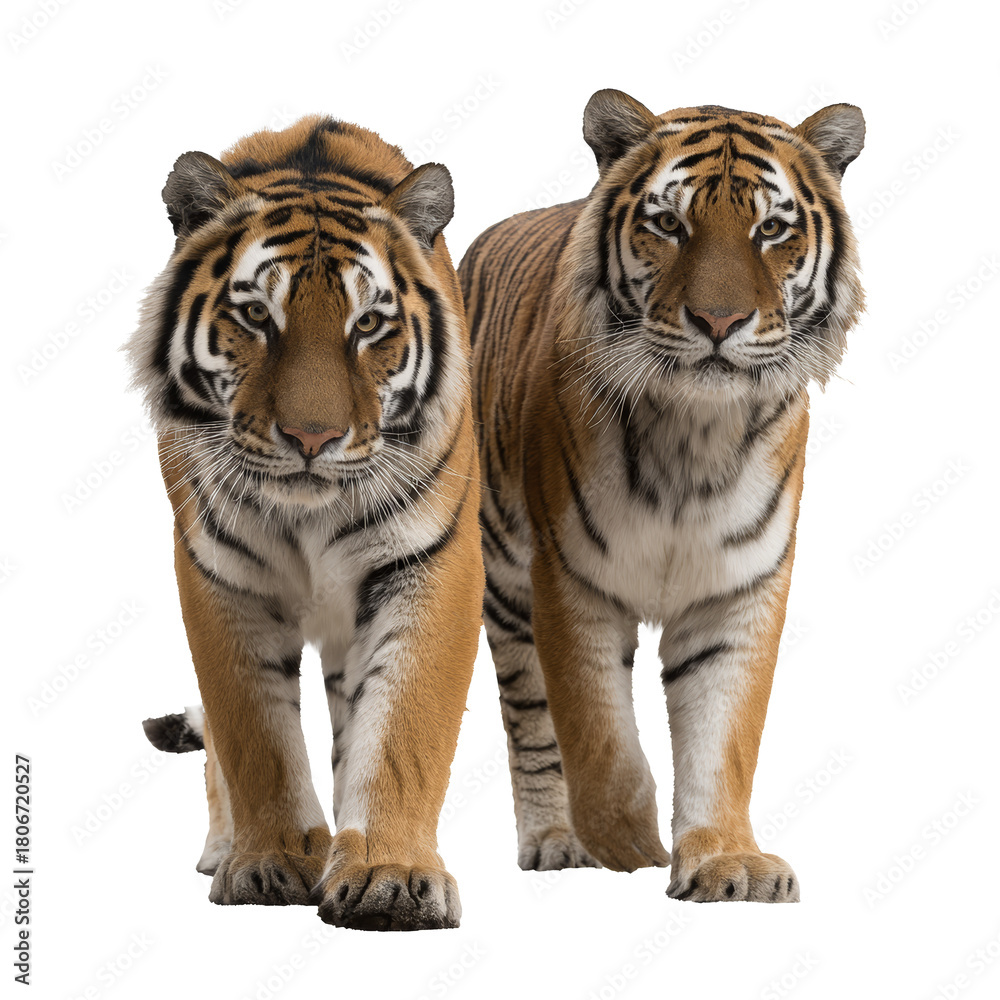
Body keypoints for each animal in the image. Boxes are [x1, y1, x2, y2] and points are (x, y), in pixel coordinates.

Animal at [125, 114, 484, 930]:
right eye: (258, 315)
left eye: (370, 323)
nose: (313, 438)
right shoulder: (220, 576)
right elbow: (253, 734)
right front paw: (275, 862)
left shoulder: (431, 564)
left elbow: (403, 729)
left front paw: (389, 876)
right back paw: (224, 847)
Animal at [458, 89, 864, 902]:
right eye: (669, 225)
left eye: (771, 229)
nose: (719, 321)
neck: (695, 432)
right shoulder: (569, 582)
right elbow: (598, 736)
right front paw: (627, 844)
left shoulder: (736, 594)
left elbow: (724, 740)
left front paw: (726, 863)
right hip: (506, 586)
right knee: (530, 720)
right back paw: (555, 839)